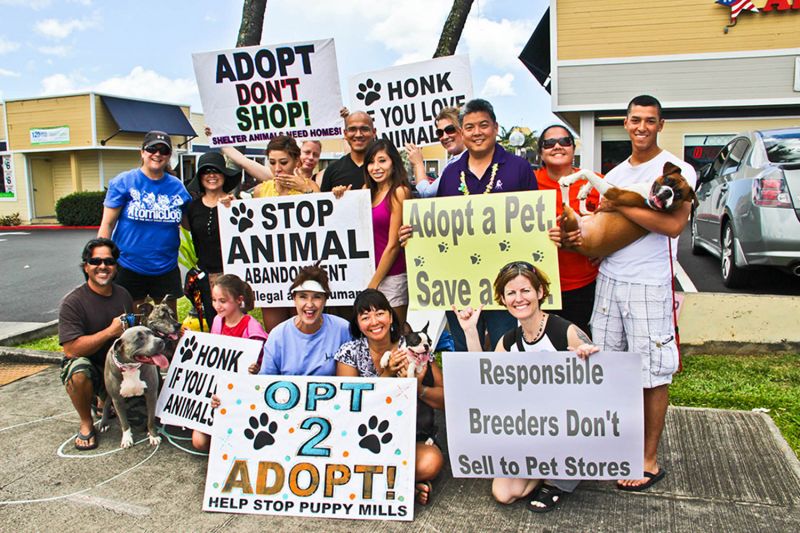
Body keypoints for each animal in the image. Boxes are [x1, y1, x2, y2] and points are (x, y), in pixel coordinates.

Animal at [556, 162, 692, 258]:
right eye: (669, 180)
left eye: (679, 195)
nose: (669, 193)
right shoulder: (616, 189)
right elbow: (599, 178)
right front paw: (584, 191)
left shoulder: (615, 193)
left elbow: (588, 172)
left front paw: (569, 180)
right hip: (583, 215)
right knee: (581, 209)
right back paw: (581, 193)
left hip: (571, 217)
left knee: (566, 203)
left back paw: (565, 183)